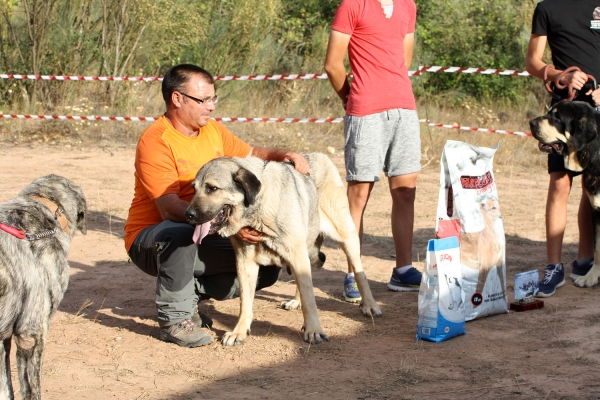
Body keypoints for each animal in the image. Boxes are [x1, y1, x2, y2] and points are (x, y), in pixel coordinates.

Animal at [185, 153, 382, 346]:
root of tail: (319, 155)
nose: (188, 215)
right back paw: (296, 301)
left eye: (212, 188)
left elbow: (310, 300)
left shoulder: (297, 255)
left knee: (359, 273)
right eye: (194, 189)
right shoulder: (245, 262)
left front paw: (314, 330)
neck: (259, 208)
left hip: (346, 238)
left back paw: (369, 305)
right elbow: (245, 302)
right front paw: (239, 332)